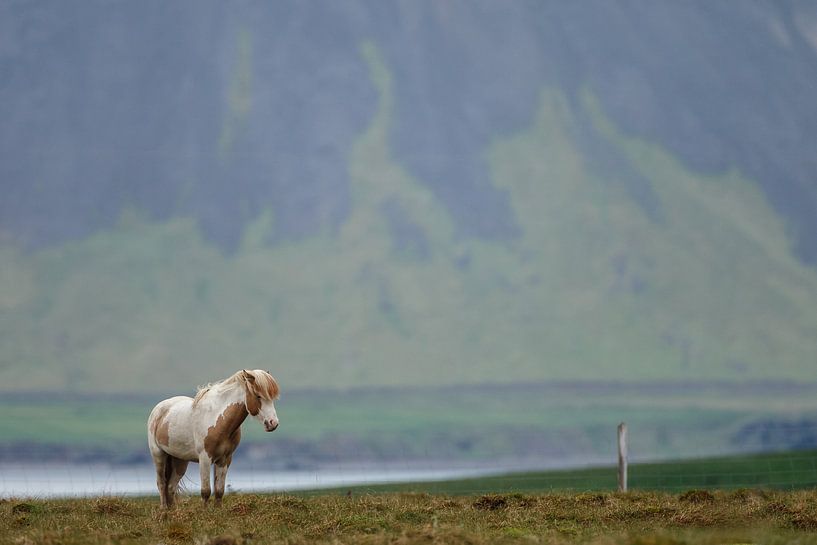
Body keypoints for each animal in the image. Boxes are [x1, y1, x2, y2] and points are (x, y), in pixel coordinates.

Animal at [144, 370, 278, 506]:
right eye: (258, 396)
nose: (273, 423)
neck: (217, 419)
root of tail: (158, 409)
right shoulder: (205, 458)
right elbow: (206, 491)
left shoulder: (225, 459)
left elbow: (219, 491)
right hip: (158, 455)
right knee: (161, 484)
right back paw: (164, 509)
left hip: (180, 461)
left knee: (171, 487)